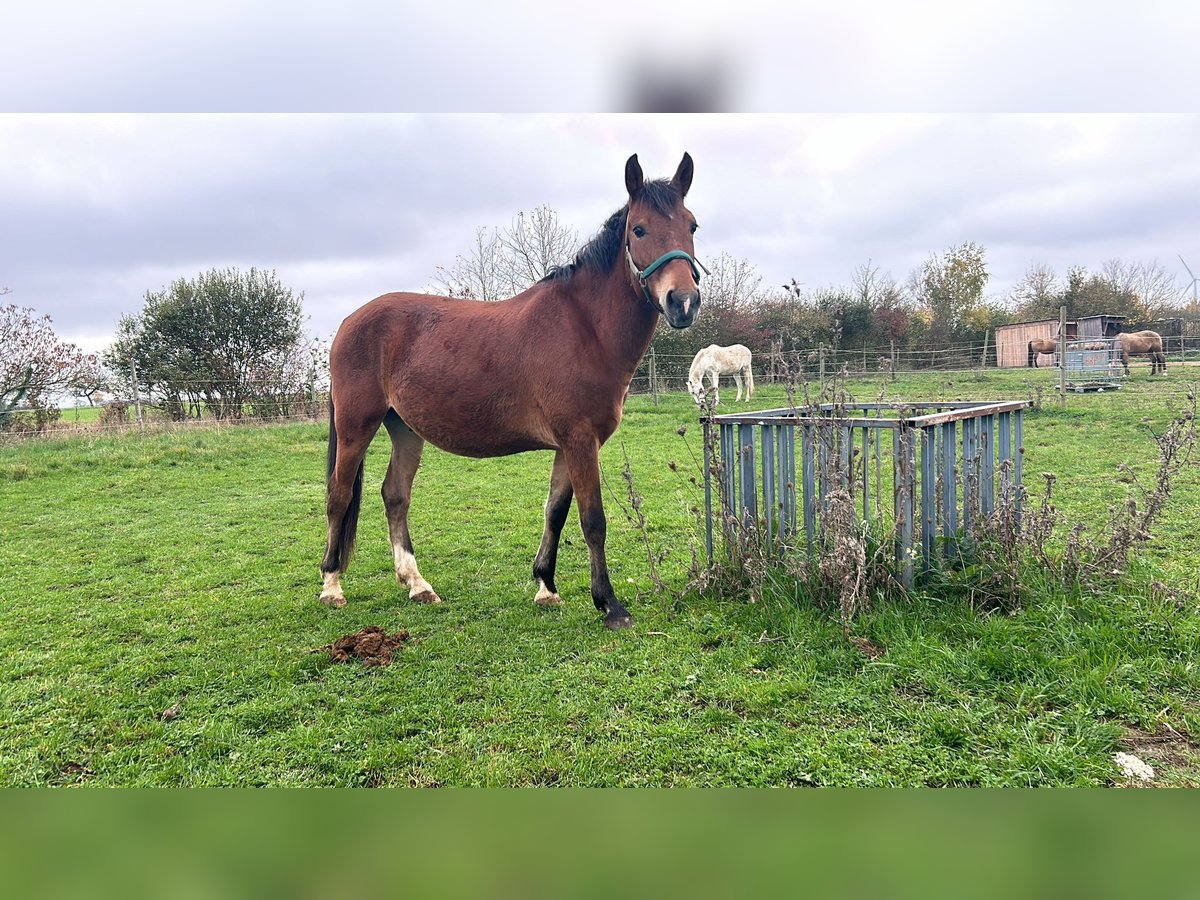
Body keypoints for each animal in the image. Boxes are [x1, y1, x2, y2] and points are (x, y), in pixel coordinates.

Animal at [319, 153, 700, 628]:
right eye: (639, 230)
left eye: (692, 225)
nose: (683, 302)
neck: (585, 327)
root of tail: (349, 321)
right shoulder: (580, 440)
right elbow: (592, 520)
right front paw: (610, 605)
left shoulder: (569, 444)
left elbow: (555, 512)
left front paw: (546, 587)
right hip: (357, 426)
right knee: (338, 495)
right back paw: (331, 586)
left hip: (404, 429)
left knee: (395, 496)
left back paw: (417, 585)